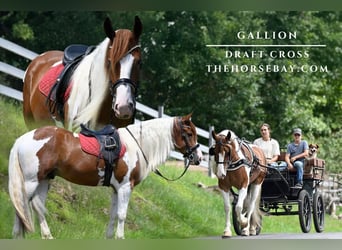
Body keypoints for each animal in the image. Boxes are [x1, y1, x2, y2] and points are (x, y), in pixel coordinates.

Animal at [8, 114, 202, 239]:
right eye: (189, 134)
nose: (198, 158)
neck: (136, 145)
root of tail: (23, 139)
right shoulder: (125, 187)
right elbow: (122, 215)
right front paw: (120, 238)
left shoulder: (116, 189)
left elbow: (113, 215)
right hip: (31, 181)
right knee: (21, 207)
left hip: (44, 180)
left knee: (36, 208)